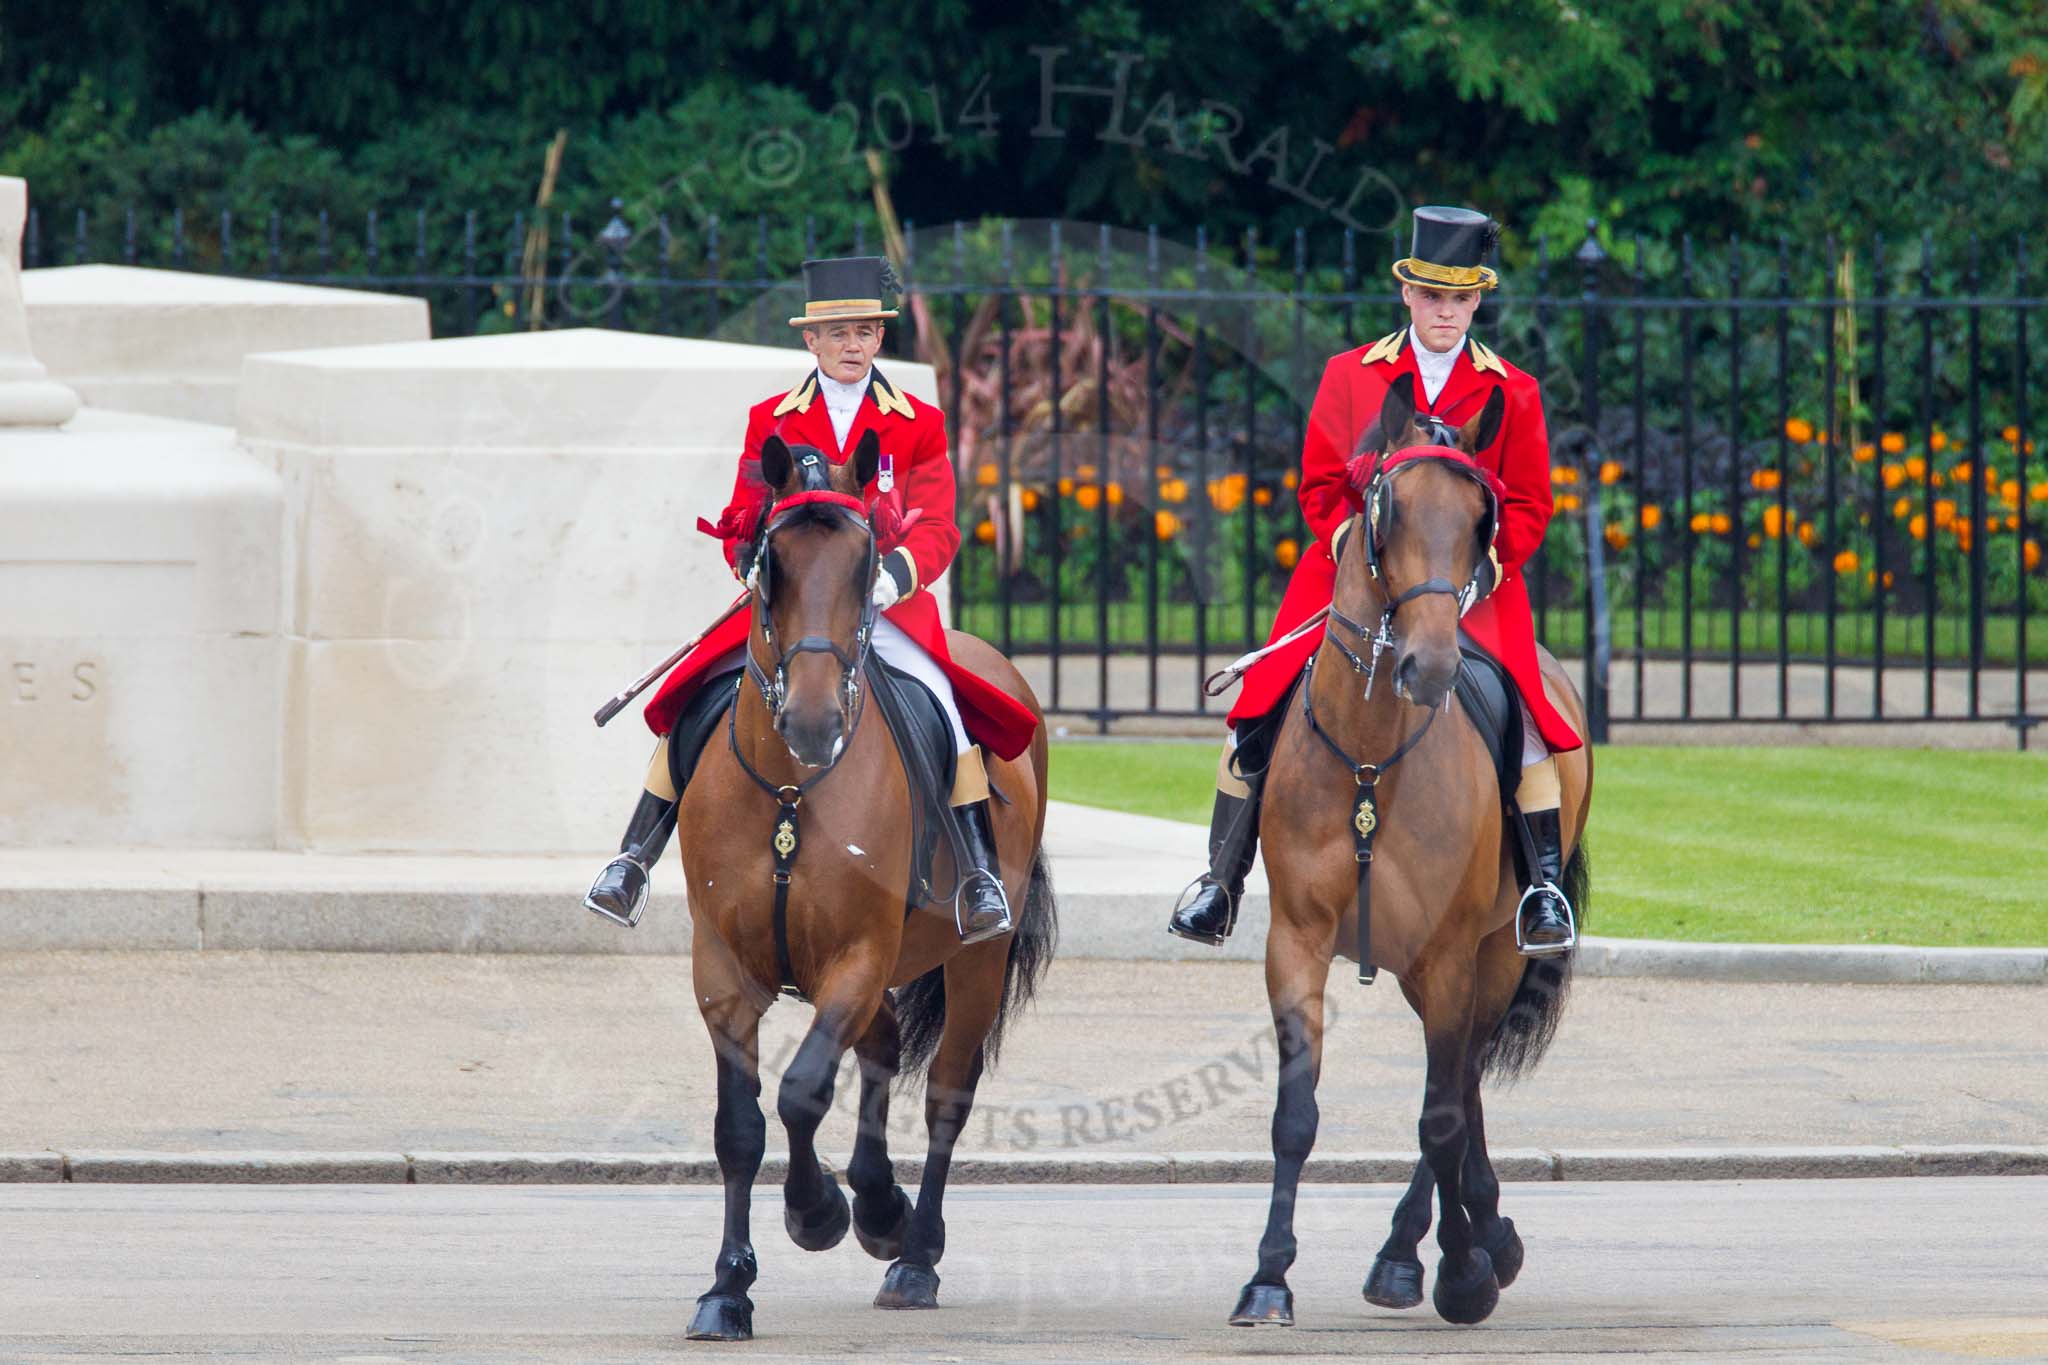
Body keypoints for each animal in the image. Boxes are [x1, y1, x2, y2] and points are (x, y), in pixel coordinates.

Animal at [671, 433, 1057, 1341]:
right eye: (771, 562)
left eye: (866, 562)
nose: (814, 721)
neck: (789, 788)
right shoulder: (722, 969)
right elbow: (740, 1126)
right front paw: (728, 1287)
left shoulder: (856, 955)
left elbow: (803, 1090)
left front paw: (815, 1211)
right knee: (880, 1048)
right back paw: (883, 1205)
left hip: (973, 959)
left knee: (946, 1091)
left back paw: (913, 1254)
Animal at [1227, 374, 1594, 1328]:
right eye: (1386, 507)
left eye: (1481, 515)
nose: (1429, 665)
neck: (1368, 758)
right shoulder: (1296, 941)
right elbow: (1296, 1113)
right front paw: (1268, 1275)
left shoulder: (1452, 953)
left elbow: (1439, 1116)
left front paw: (1461, 1270)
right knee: (1461, 1084)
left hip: (1493, 950)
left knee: (1458, 1084)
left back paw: (1430, 1245)